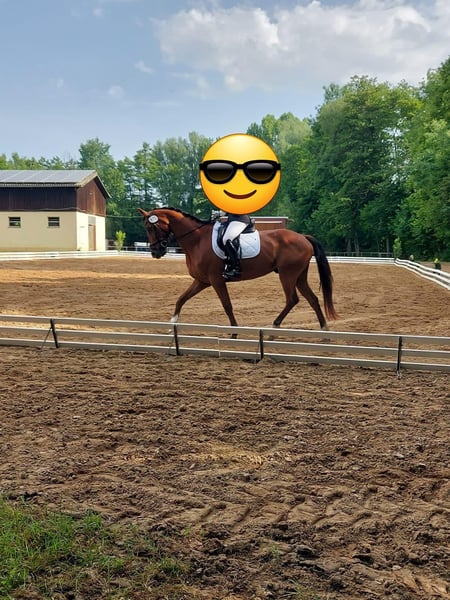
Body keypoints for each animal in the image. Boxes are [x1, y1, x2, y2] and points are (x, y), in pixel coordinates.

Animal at [138, 207, 338, 331]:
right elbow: (181, 299)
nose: (156, 252)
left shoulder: (216, 280)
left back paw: (275, 326)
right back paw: (324, 330)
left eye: (151, 227)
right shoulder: (202, 281)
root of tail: (303, 237)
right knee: (312, 299)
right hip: (299, 276)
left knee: (292, 299)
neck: (197, 240)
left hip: (287, 275)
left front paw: (235, 332)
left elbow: (227, 305)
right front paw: (172, 323)